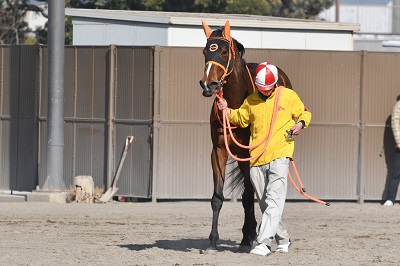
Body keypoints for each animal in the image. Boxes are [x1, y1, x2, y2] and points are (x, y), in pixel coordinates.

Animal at [198, 20, 292, 251]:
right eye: (205, 51)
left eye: (223, 51)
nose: (208, 85)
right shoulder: (219, 151)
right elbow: (217, 197)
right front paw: (212, 241)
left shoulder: (250, 155)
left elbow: (250, 196)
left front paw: (247, 237)